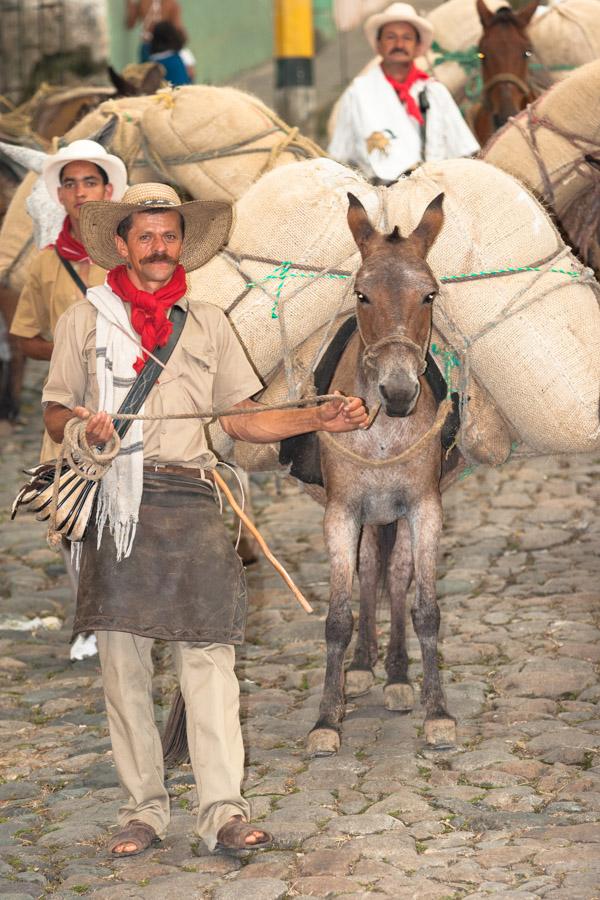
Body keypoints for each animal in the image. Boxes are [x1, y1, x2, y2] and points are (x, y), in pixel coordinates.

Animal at [308, 192, 462, 760]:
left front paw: (437, 712)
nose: (398, 394)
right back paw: (361, 668)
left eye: (429, 294)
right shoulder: (341, 512)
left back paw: (395, 675)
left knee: (393, 574)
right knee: (371, 569)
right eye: (362, 293)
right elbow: (337, 617)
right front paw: (326, 720)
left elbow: (426, 608)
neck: (381, 432)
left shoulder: (424, 506)